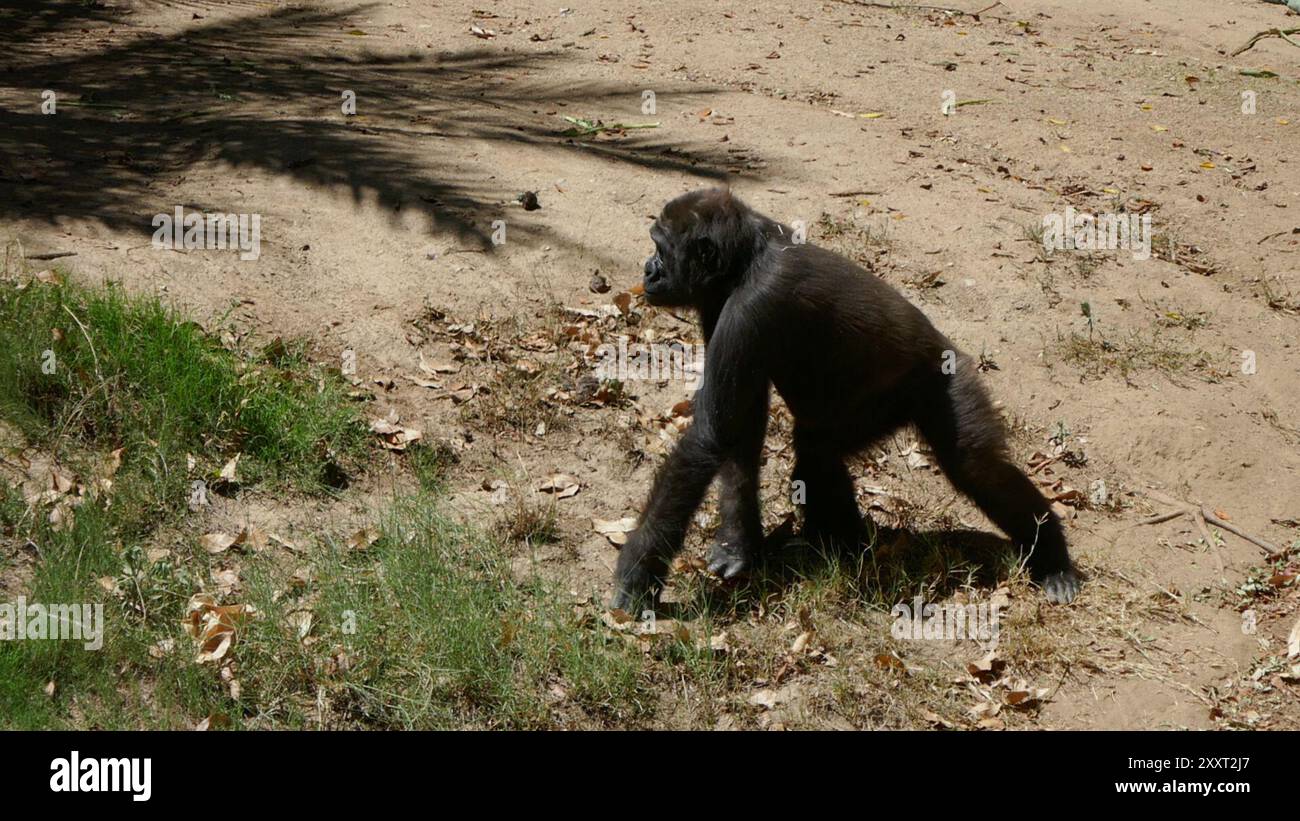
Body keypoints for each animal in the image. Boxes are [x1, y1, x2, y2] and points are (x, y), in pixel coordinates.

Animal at [610, 188, 1081, 611]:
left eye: (661, 249)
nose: (648, 270)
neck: (745, 260)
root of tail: (952, 352)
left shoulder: (753, 305)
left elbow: (711, 434)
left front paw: (637, 572)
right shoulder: (717, 305)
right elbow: (739, 425)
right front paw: (739, 545)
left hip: (946, 380)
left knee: (976, 466)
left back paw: (1052, 555)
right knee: (818, 450)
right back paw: (845, 547)